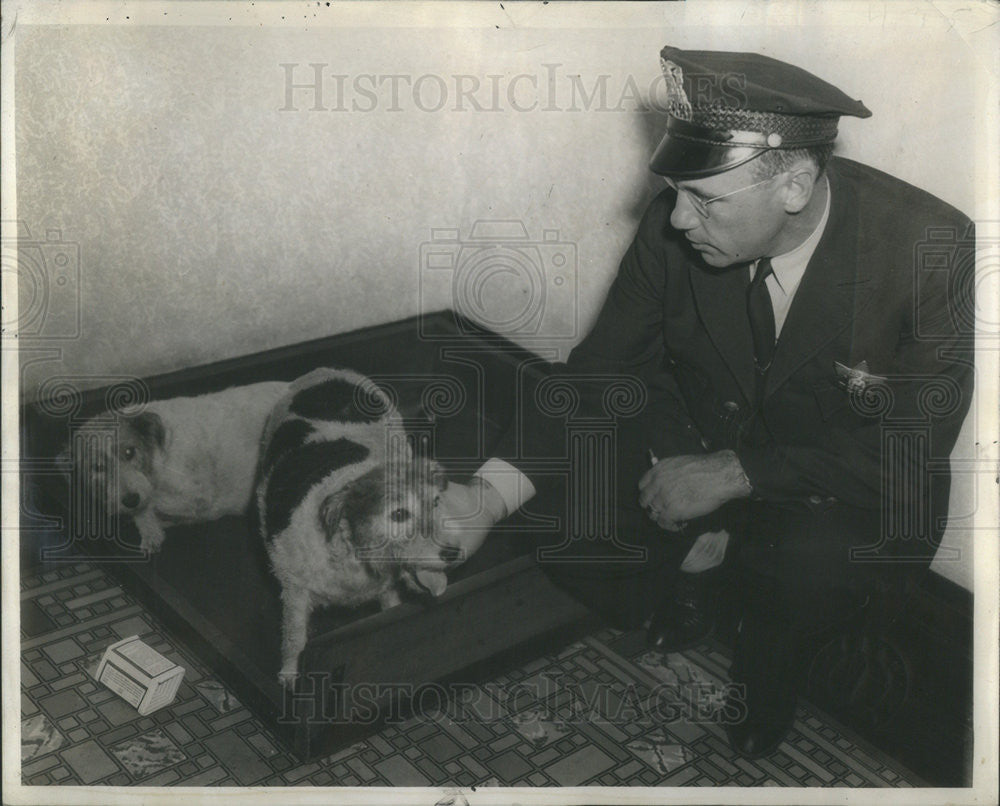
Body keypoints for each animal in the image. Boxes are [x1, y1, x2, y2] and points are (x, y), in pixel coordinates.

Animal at [69, 382, 290, 552]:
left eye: (129, 452)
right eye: (98, 467)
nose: (130, 500)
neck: (159, 453)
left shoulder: (198, 496)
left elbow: (155, 505)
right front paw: (150, 530)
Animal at [256, 370, 478, 684]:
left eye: (436, 501)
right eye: (399, 514)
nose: (452, 553)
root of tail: (327, 371)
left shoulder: (387, 589)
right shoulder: (294, 590)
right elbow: (294, 638)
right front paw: (290, 674)